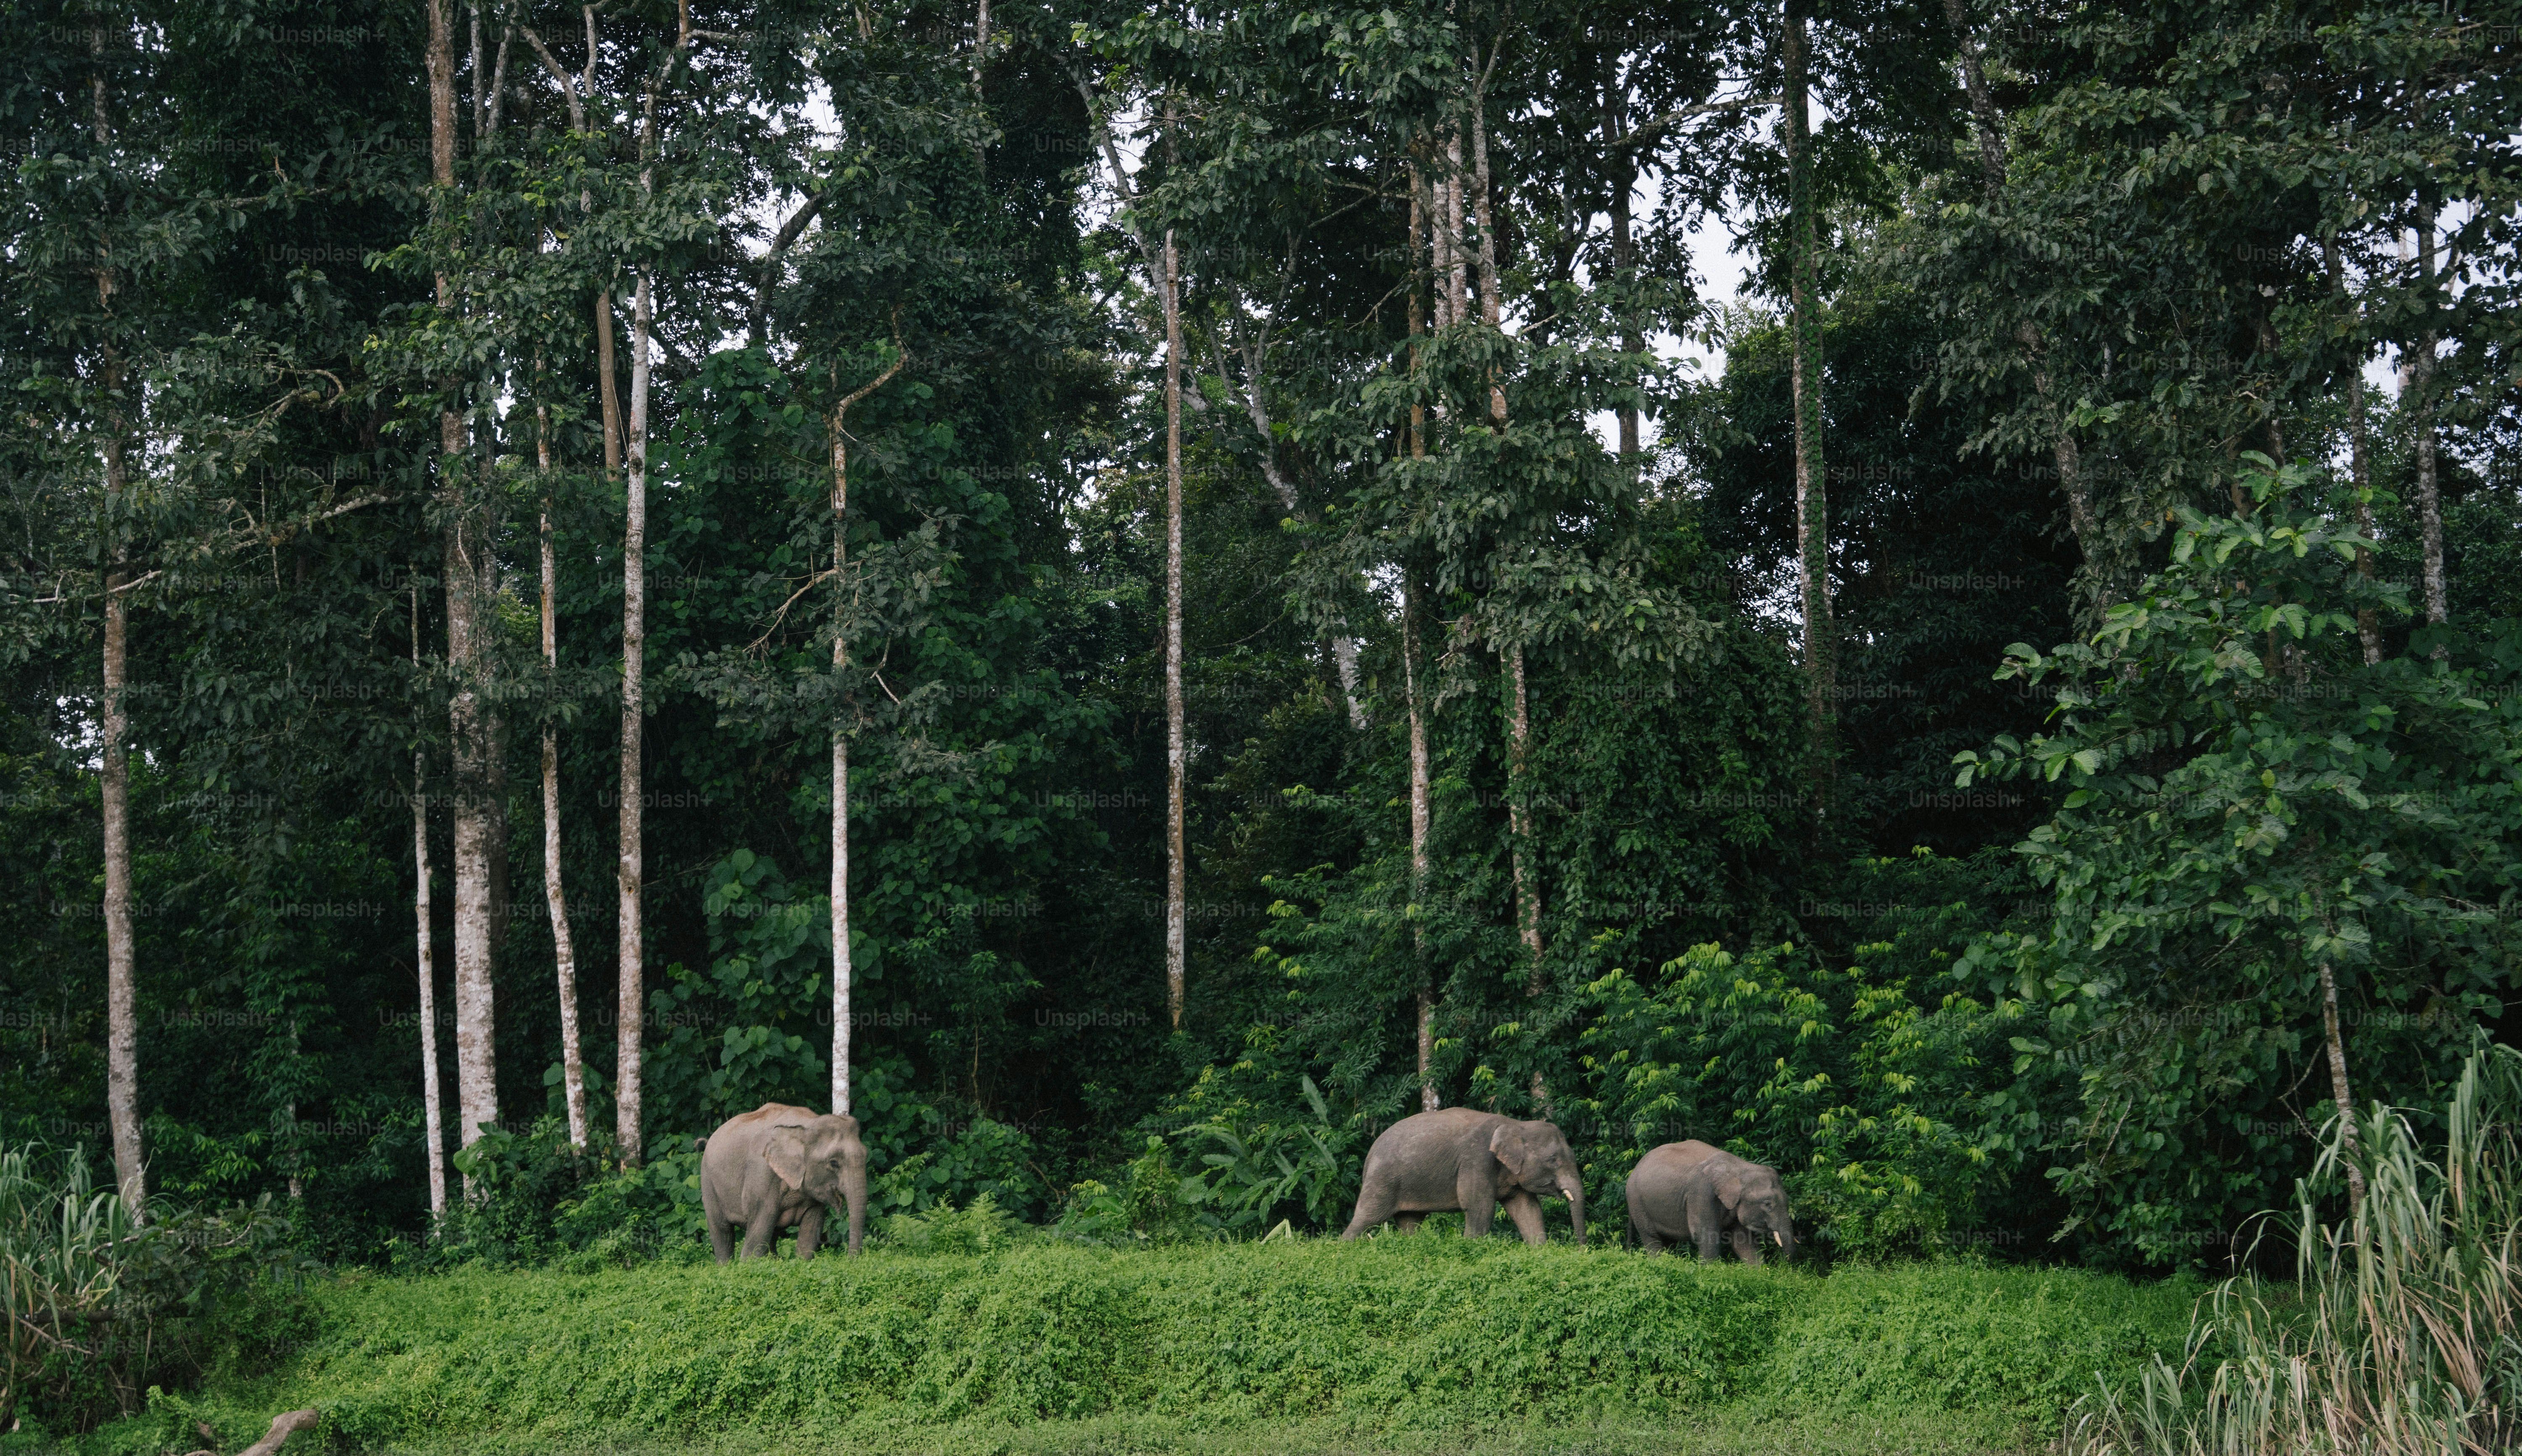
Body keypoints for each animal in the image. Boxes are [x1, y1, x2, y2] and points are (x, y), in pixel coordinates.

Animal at [696, 1102, 868, 1261]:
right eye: (834, 1163)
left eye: (866, 1156)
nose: (850, 1258)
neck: (808, 1123)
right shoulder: (762, 1173)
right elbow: (759, 1231)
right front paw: (748, 1264)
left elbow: (811, 1232)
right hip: (708, 1181)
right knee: (722, 1230)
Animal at [1339, 1107, 1585, 1246]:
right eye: (1553, 1159)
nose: (1582, 1249)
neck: (1516, 1125)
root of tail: (1369, 1154)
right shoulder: (1477, 1160)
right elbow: (1480, 1206)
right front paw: (1473, 1247)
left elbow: (1528, 1209)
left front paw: (1540, 1250)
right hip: (1383, 1179)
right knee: (1367, 1218)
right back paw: (1344, 1248)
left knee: (1410, 1221)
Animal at [1625, 1140, 1794, 1263]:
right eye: (1768, 1205)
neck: (1740, 1168)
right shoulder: (1702, 1193)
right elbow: (1705, 1235)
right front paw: (1709, 1271)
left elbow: (1743, 1241)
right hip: (1637, 1201)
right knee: (1652, 1237)